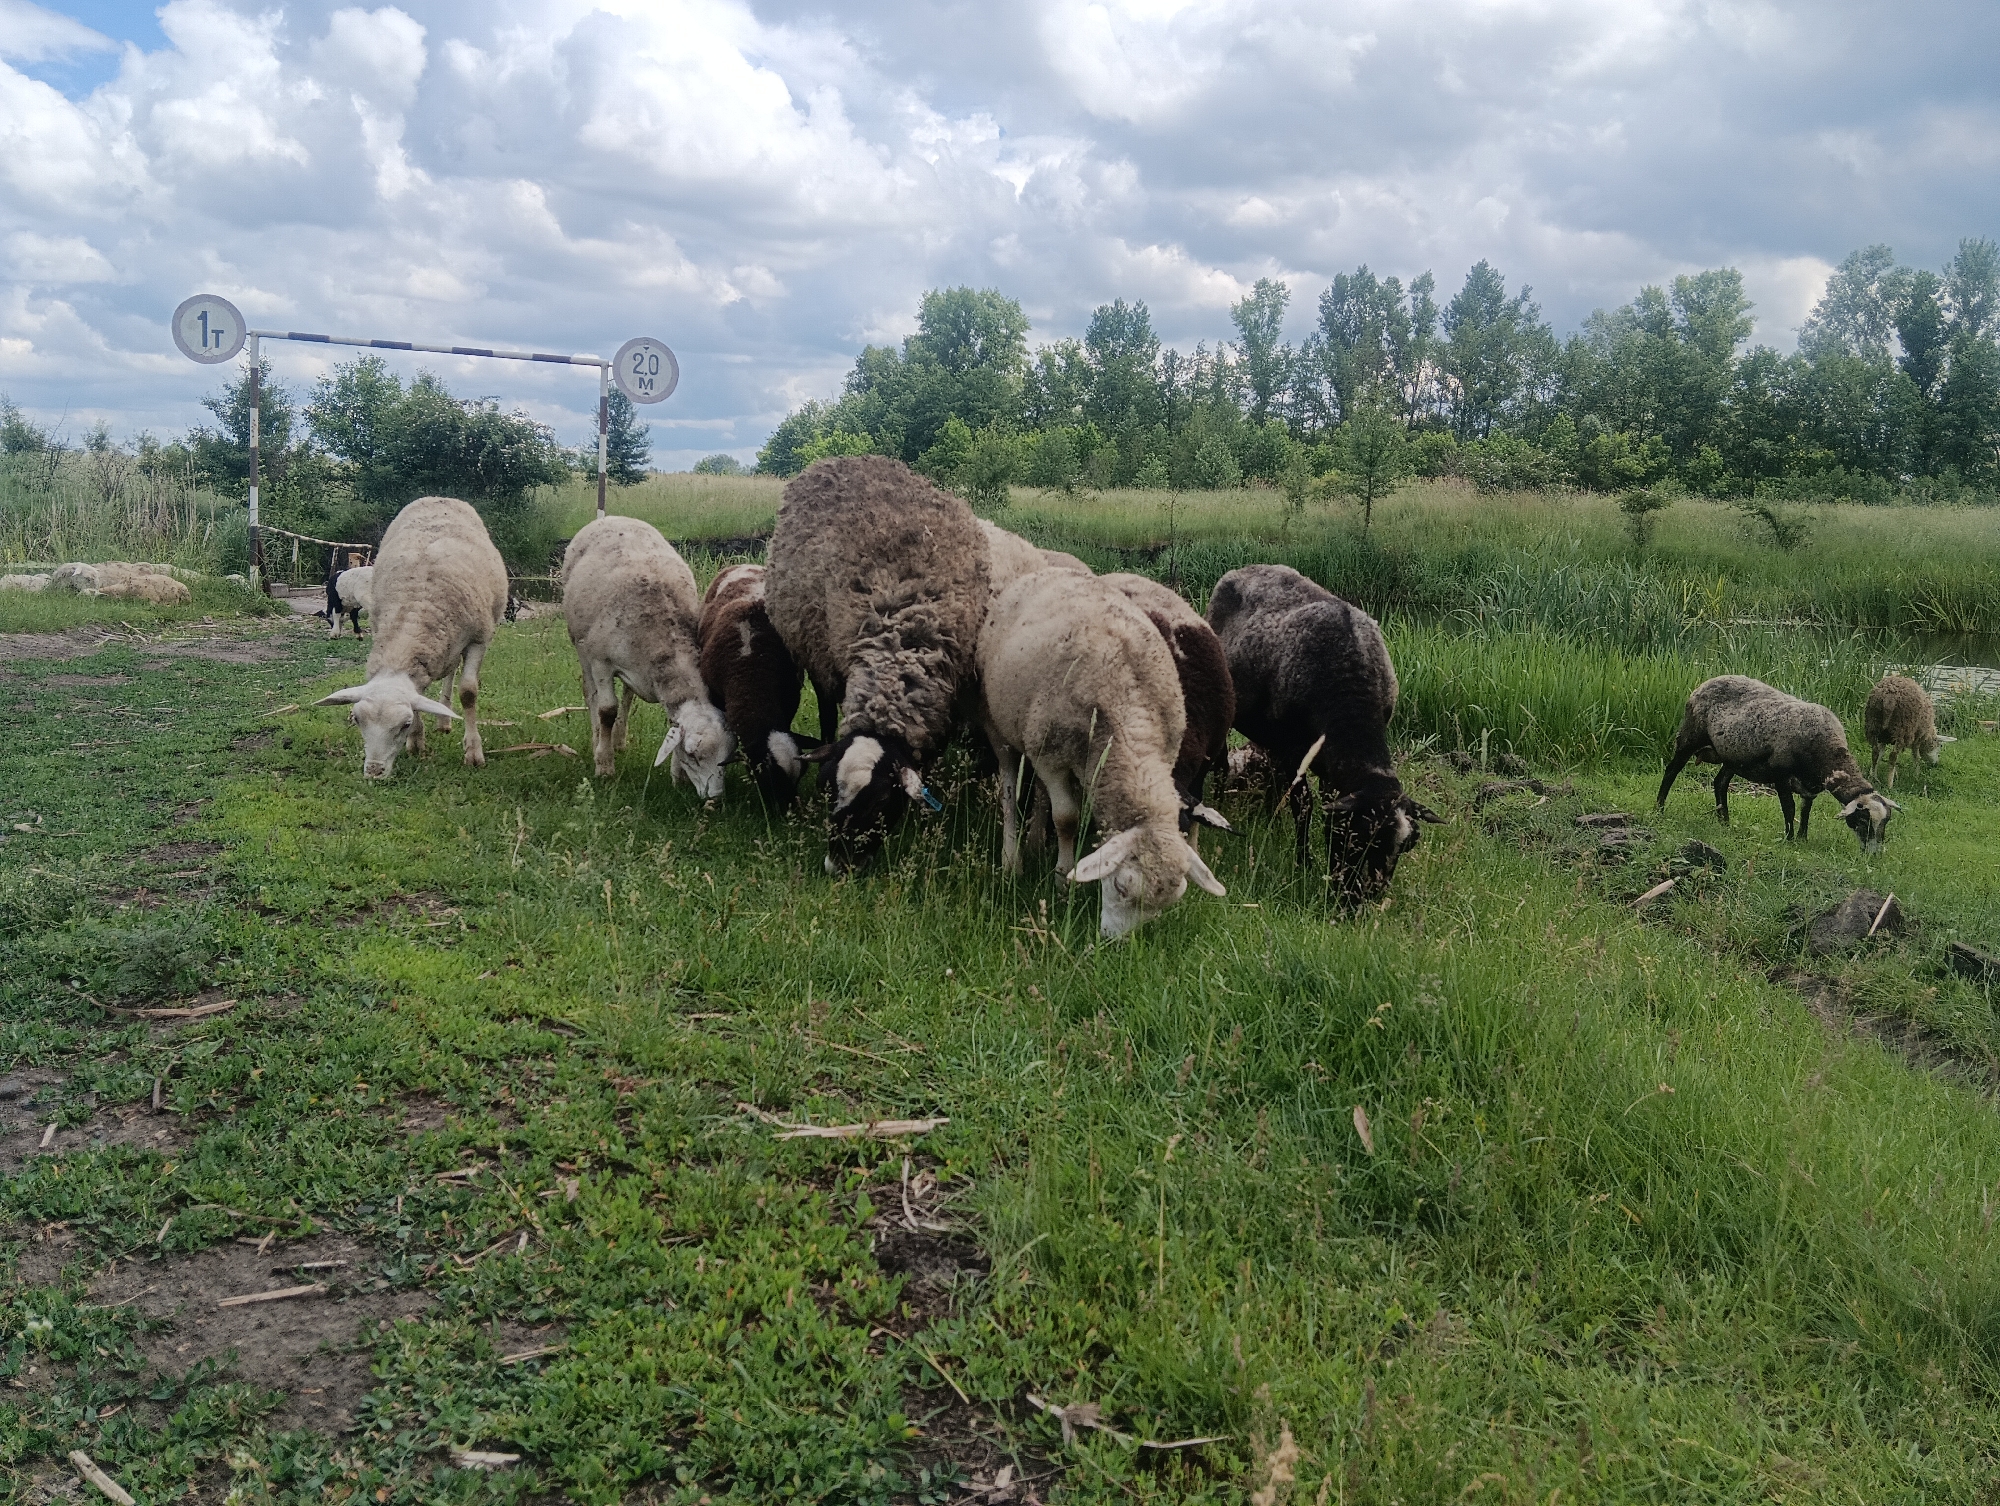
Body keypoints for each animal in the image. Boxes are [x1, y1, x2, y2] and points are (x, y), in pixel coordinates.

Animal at [314, 496, 507, 779]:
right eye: (357, 719)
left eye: (403, 724)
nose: (374, 771)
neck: (416, 607)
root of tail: (440, 497)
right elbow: (420, 693)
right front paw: (416, 742)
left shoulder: (478, 639)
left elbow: (468, 692)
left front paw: (473, 753)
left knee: (451, 676)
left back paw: (445, 720)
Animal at [560, 515, 732, 796]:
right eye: (693, 755)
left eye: (727, 757)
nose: (715, 798)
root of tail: (612, 517)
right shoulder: (601, 662)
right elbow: (606, 710)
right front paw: (604, 766)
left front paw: (677, 776)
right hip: (580, 643)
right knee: (591, 694)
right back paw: (598, 740)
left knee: (628, 697)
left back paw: (619, 739)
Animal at [765, 456, 989, 872]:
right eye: (826, 789)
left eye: (884, 799)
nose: (839, 866)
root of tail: (848, 458)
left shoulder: (941, 703)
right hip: (819, 656)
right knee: (826, 712)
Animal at [1207, 564, 1440, 905]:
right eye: (1359, 837)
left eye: (1406, 846)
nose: (1365, 899)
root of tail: (1244, 568)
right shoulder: (1294, 751)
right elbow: (1303, 806)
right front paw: (1304, 861)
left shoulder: (1332, 766)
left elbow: (1327, 804)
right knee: (1221, 762)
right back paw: (1219, 803)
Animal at [1656, 674, 1898, 850]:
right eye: (1864, 821)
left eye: (1886, 822)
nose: (1874, 854)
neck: (1827, 750)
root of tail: (1707, 681)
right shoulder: (1781, 775)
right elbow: (1789, 808)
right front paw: (1789, 839)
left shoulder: (1811, 786)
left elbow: (1805, 811)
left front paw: (1802, 838)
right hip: (1690, 736)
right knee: (1671, 771)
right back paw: (1659, 809)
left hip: (1733, 756)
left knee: (1720, 783)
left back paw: (1724, 821)